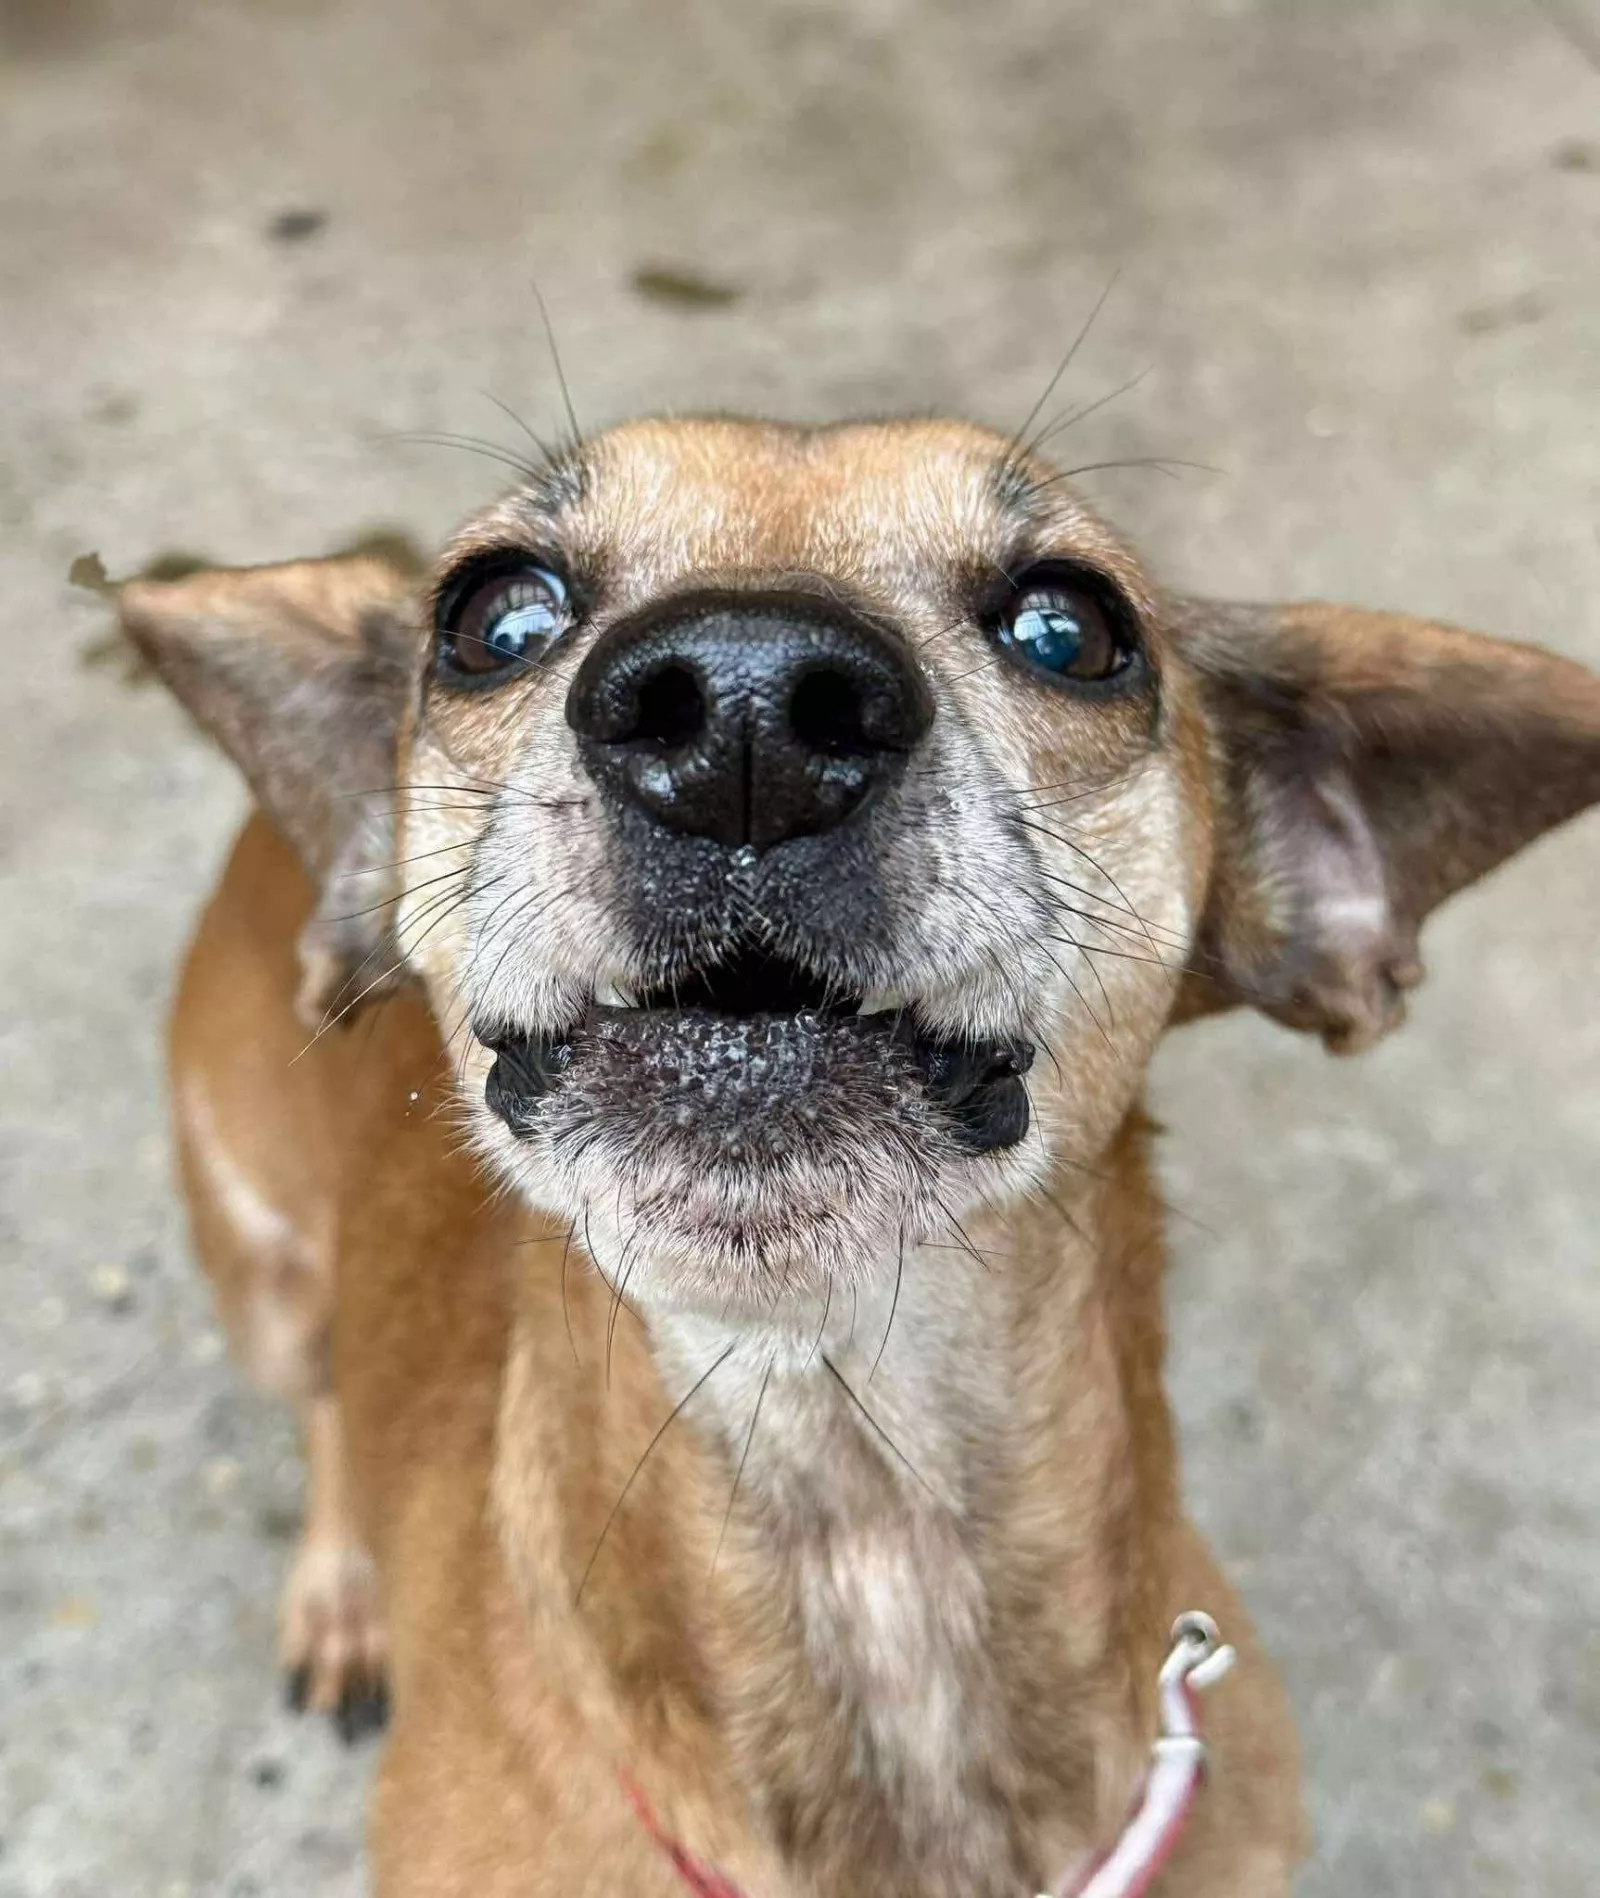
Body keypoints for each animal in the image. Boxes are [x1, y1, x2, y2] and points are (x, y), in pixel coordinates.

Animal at [115, 416, 1600, 1896]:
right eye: (497, 616)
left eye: (1072, 627)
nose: (743, 705)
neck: (865, 1505)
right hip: (267, 1282)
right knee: (321, 1408)